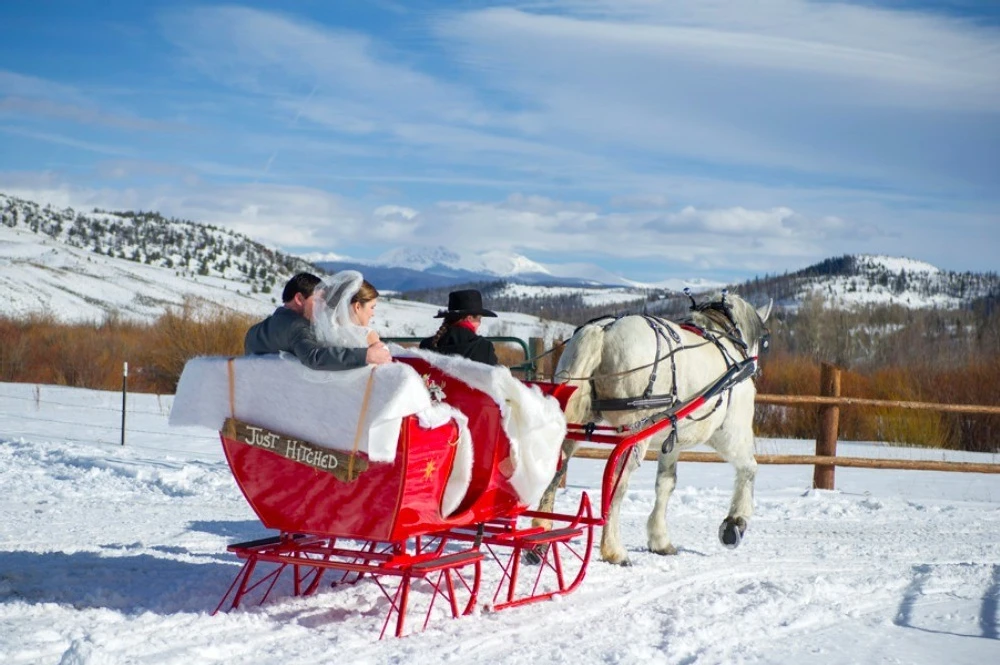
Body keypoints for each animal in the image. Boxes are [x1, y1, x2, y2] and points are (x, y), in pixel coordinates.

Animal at [536, 294, 768, 564]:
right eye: (764, 340)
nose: (757, 368)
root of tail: (603, 330)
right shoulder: (730, 433)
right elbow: (749, 468)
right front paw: (734, 524)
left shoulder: (672, 442)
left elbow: (665, 484)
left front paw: (660, 540)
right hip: (635, 433)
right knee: (616, 483)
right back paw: (613, 549)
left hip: (577, 418)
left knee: (558, 467)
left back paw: (540, 536)